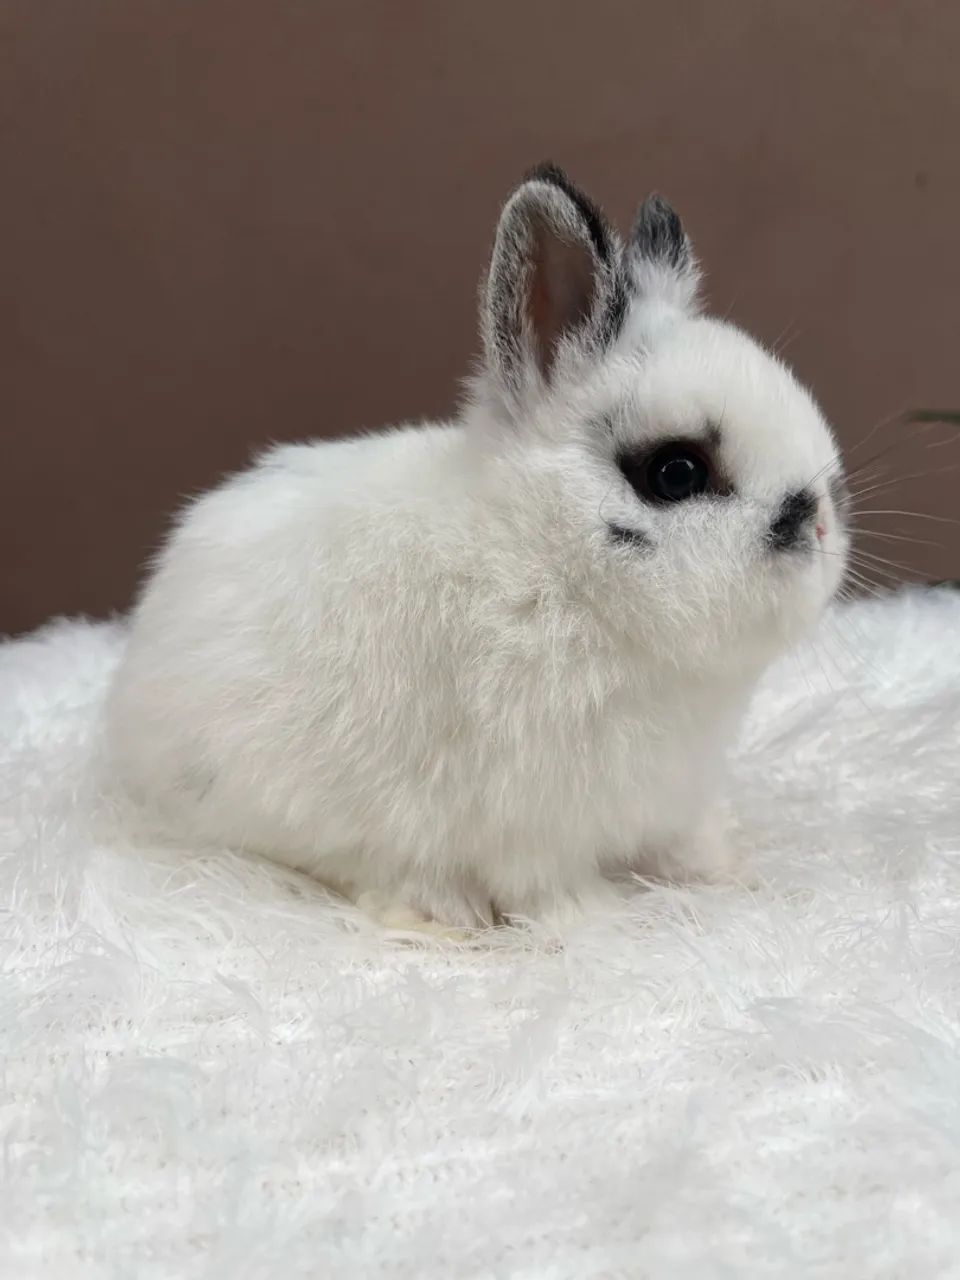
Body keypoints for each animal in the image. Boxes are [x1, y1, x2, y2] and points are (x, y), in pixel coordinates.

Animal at [105, 163, 850, 934]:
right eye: (676, 473)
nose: (821, 522)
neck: (548, 564)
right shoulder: (528, 813)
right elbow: (546, 885)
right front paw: (603, 921)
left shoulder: (672, 795)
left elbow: (685, 841)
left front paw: (729, 871)